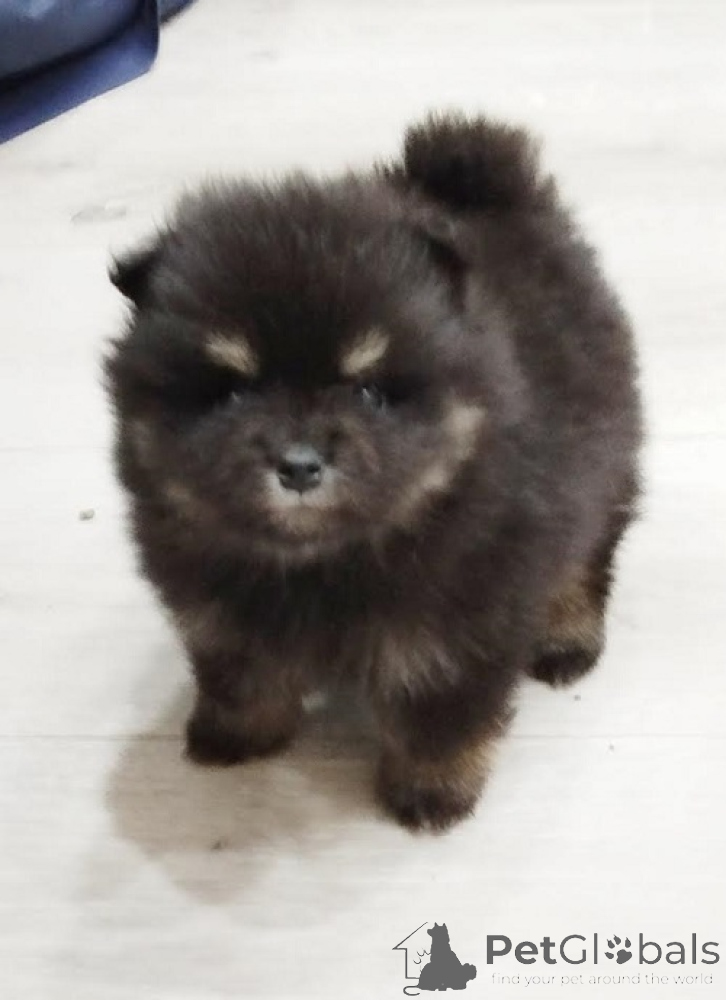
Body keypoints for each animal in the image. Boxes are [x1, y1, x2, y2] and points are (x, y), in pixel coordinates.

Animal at [104, 112, 642, 832]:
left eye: (369, 390)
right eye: (231, 391)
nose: (299, 464)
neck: (320, 566)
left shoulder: (458, 626)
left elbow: (438, 719)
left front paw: (431, 792)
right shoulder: (222, 614)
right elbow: (242, 677)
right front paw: (234, 737)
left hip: (603, 468)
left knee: (585, 559)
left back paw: (564, 639)